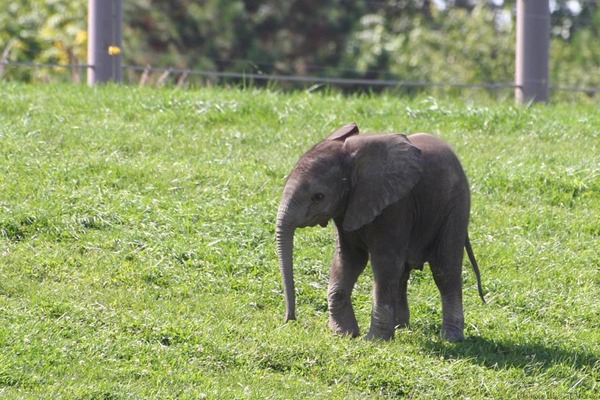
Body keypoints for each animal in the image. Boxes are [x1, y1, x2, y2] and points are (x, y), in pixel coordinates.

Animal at [276, 122, 482, 340]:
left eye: (318, 197)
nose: (290, 319)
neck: (354, 159)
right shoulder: (348, 206)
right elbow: (349, 259)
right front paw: (344, 334)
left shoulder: (395, 205)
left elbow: (384, 263)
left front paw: (374, 341)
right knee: (403, 272)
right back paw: (401, 327)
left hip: (456, 206)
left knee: (445, 270)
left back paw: (451, 337)